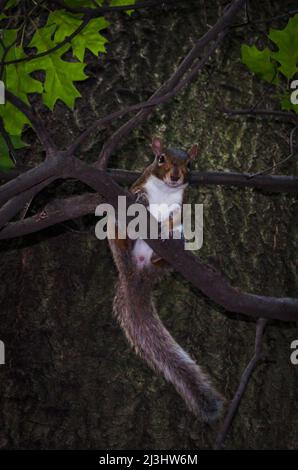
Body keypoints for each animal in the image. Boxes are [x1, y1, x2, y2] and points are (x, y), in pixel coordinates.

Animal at [107, 138, 224, 420]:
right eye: (161, 159)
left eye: (189, 163)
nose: (175, 175)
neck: (164, 190)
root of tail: (136, 271)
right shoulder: (138, 183)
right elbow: (137, 191)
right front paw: (141, 198)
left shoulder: (180, 205)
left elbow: (175, 214)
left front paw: (168, 225)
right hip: (116, 234)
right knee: (122, 235)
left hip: (163, 259)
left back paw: (171, 246)